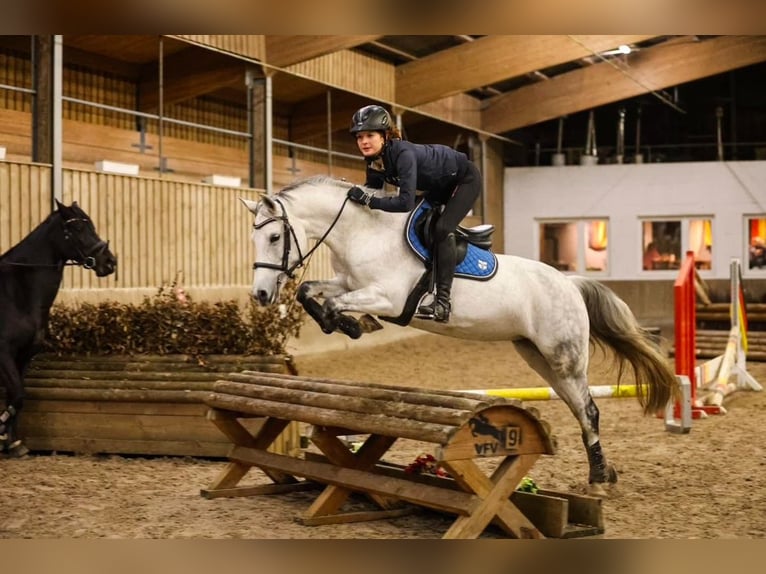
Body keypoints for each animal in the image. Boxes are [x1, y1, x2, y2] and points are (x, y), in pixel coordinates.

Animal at [0, 199, 117, 457]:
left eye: (92, 225)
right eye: (77, 228)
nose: (110, 262)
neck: (17, 294)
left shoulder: (23, 356)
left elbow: (16, 397)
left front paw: (12, 442)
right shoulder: (3, 354)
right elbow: (16, 396)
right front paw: (2, 432)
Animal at [241, 175, 680, 495]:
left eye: (275, 237)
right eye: (255, 238)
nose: (260, 294)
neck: (364, 234)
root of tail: (570, 283)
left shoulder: (388, 297)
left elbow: (334, 304)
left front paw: (351, 324)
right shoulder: (348, 284)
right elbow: (309, 292)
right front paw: (346, 323)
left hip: (564, 356)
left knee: (588, 409)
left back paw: (600, 479)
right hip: (538, 356)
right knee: (579, 406)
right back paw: (603, 472)